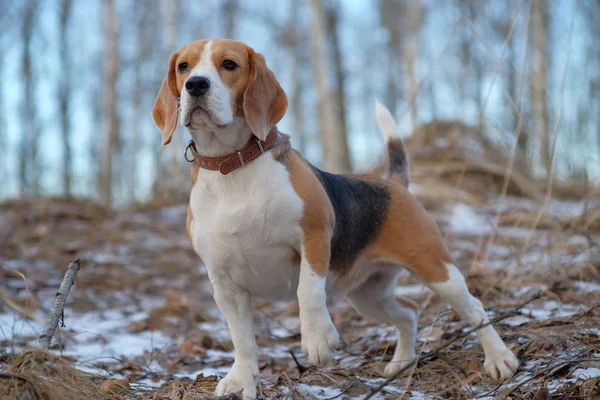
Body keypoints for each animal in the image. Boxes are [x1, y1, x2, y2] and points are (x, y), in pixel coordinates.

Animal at [152, 38, 516, 400]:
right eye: (183, 67)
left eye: (229, 64)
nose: (195, 85)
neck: (233, 167)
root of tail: (393, 183)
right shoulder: (225, 283)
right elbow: (242, 339)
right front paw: (241, 380)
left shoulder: (313, 237)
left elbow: (308, 291)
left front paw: (317, 339)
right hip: (369, 296)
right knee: (409, 311)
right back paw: (401, 363)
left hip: (436, 269)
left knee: (475, 307)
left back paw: (500, 359)